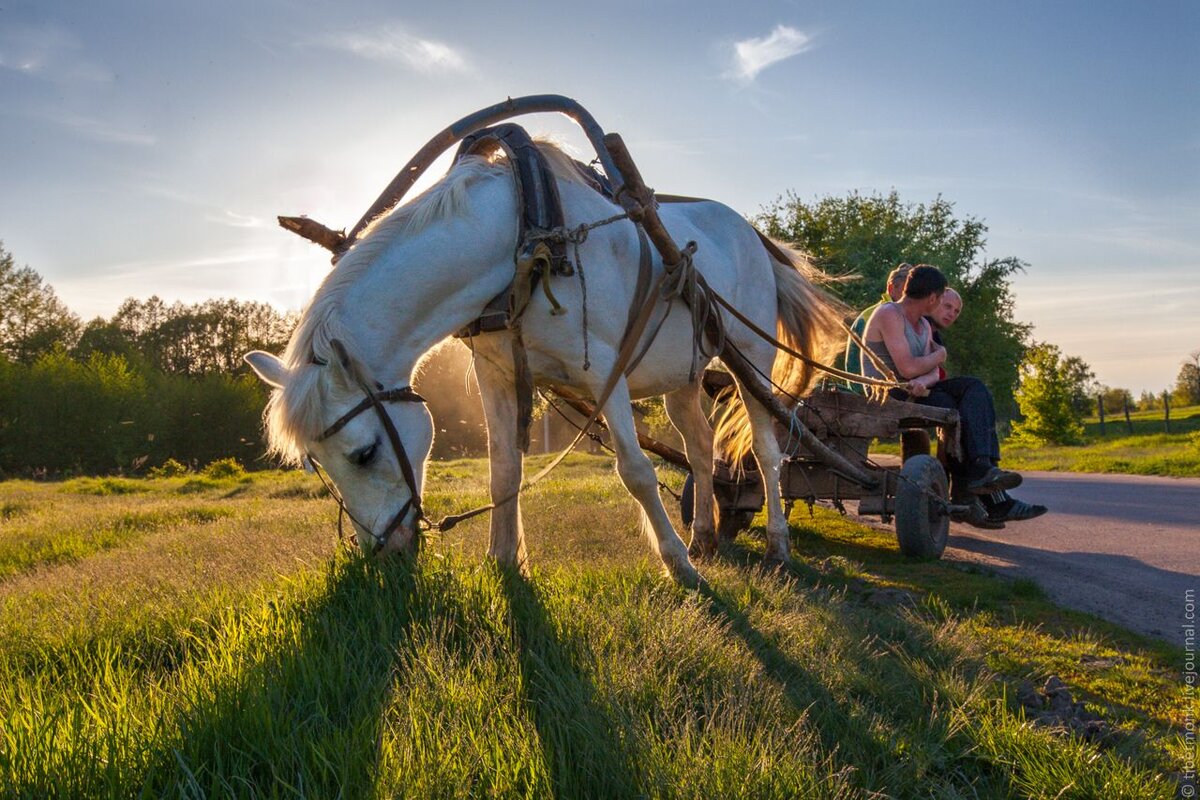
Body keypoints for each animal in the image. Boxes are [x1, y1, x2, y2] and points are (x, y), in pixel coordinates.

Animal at [244, 142, 844, 582]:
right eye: (316, 466)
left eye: (364, 453)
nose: (386, 555)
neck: (524, 241)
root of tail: (752, 233)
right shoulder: (498, 375)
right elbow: (503, 471)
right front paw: (504, 562)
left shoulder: (606, 372)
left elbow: (636, 472)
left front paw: (677, 566)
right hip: (684, 374)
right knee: (699, 446)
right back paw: (704, 536)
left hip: (751, 361)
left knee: (766, 452)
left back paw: (775, 544)